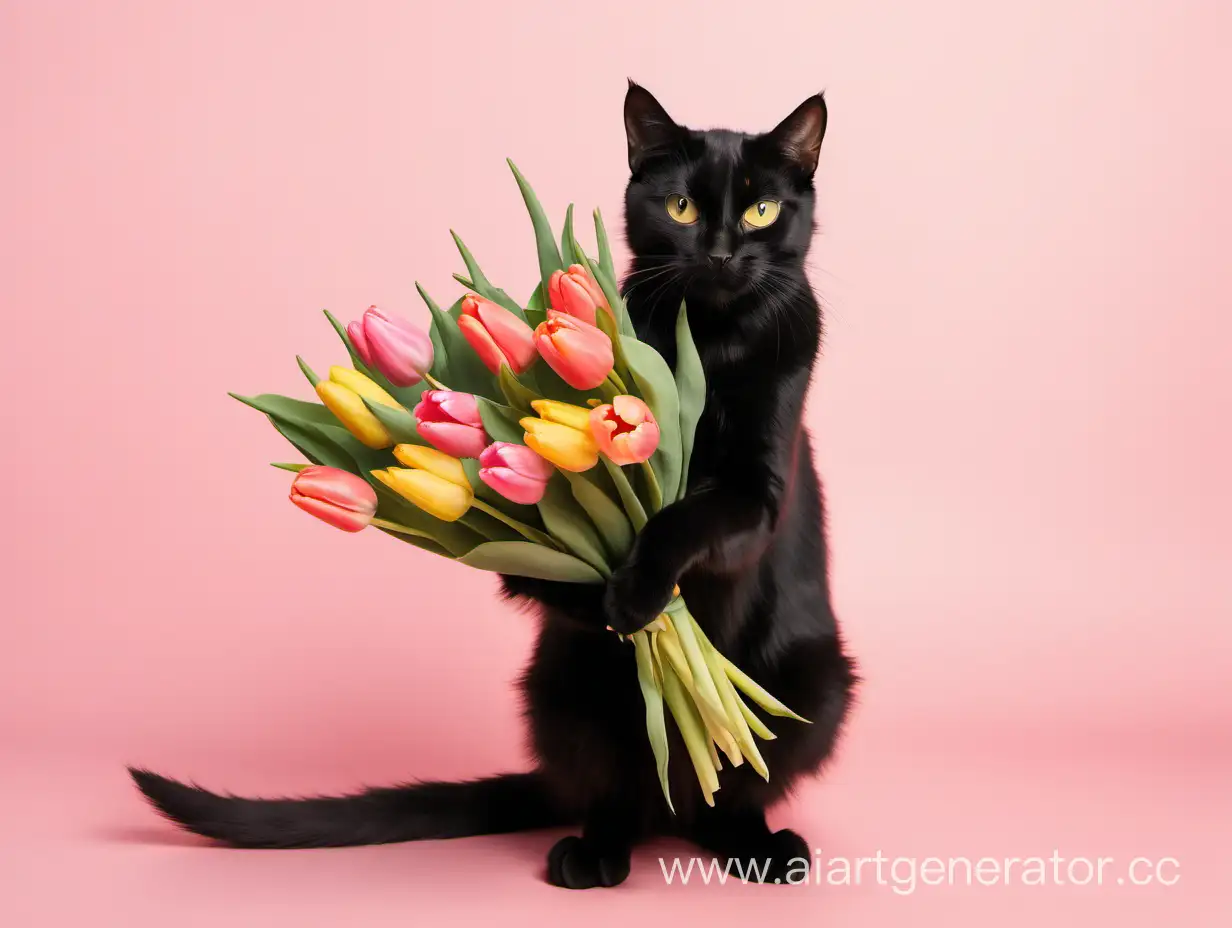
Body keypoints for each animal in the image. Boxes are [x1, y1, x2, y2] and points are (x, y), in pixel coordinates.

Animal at [129, 86, 852, 892]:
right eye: (682, 207)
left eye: (761, 210)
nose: (722, 253)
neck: (714, 342)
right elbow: (550, 576)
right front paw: (621, 603)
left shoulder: (759, 492)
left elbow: (684, 521)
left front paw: (638, 594)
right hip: (559, 687)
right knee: (619, 790)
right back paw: (595, 852)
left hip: (817, 682)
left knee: (731, 784)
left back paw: (757, 845)